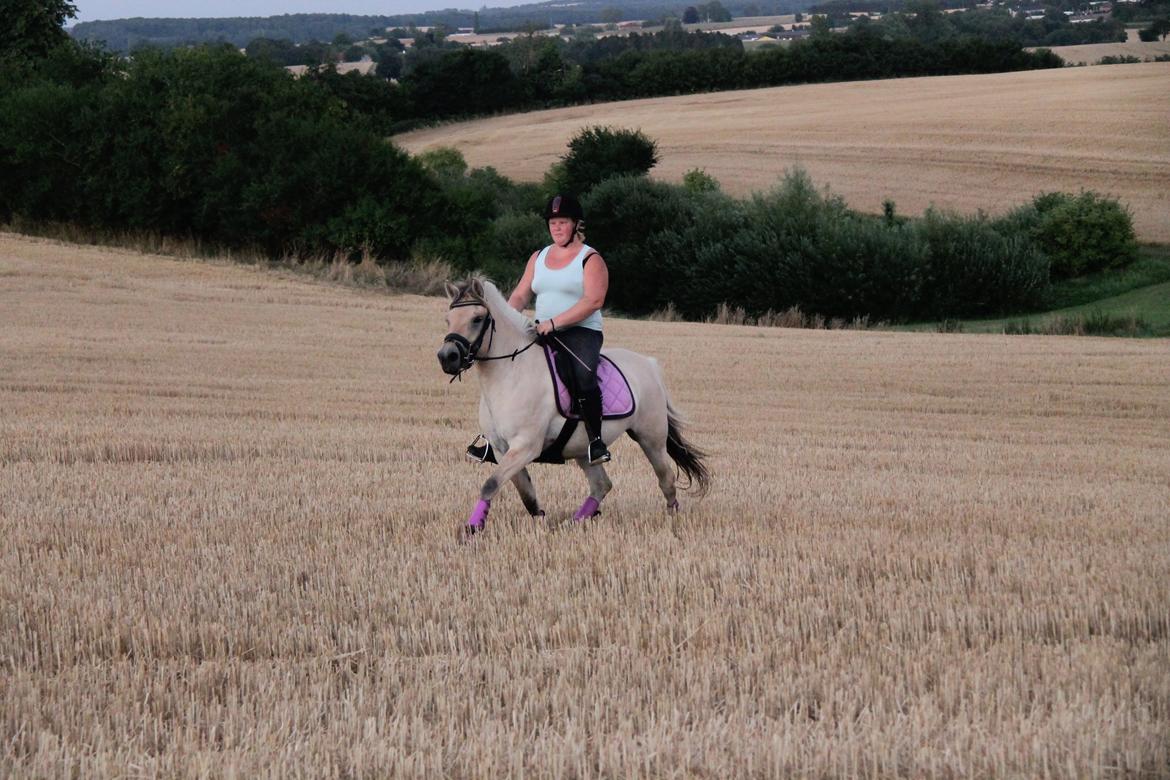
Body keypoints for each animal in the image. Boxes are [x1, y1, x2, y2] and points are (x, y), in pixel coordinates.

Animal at [439, 277, 711, 540]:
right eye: (448, 319)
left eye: (476, 319)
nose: (447, 357)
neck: (510, 374)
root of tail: (649, 364)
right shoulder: (501, 448)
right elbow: (526, 495)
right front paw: (540, 526)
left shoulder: (526, 446)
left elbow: (490, 484)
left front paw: (470, 530)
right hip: (584, 448)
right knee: (602, 485)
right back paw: (573, 523)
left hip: (651, 439)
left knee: (666, 479)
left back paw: (672, 522)